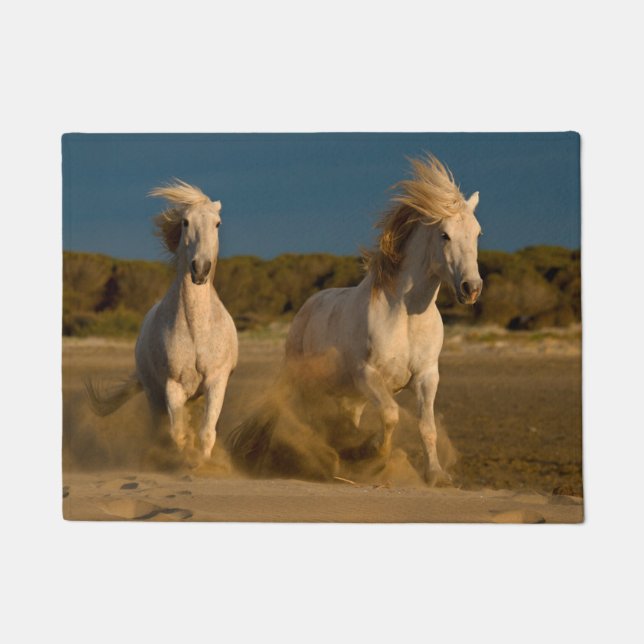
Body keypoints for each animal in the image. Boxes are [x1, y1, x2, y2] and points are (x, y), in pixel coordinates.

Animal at [86, 180, 238, 460]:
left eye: (218, 223)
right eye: (185, 222)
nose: (200, 269)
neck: (197, 329)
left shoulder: (216, 381)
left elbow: (206, 433)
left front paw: (203, 463)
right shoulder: (172, 386)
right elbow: (178, 434)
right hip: (153, 395)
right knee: (158, 430)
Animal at [227, 155, 482, 485]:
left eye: (478, 233)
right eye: (444, 234)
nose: (471, 288)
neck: (405, 316)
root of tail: (306, 308)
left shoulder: (427, 376)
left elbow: (427, 427)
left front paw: (436, 475)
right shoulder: (368, 375)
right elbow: (391, 415)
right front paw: (372, 457)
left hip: (349, 397)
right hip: (308, 383)